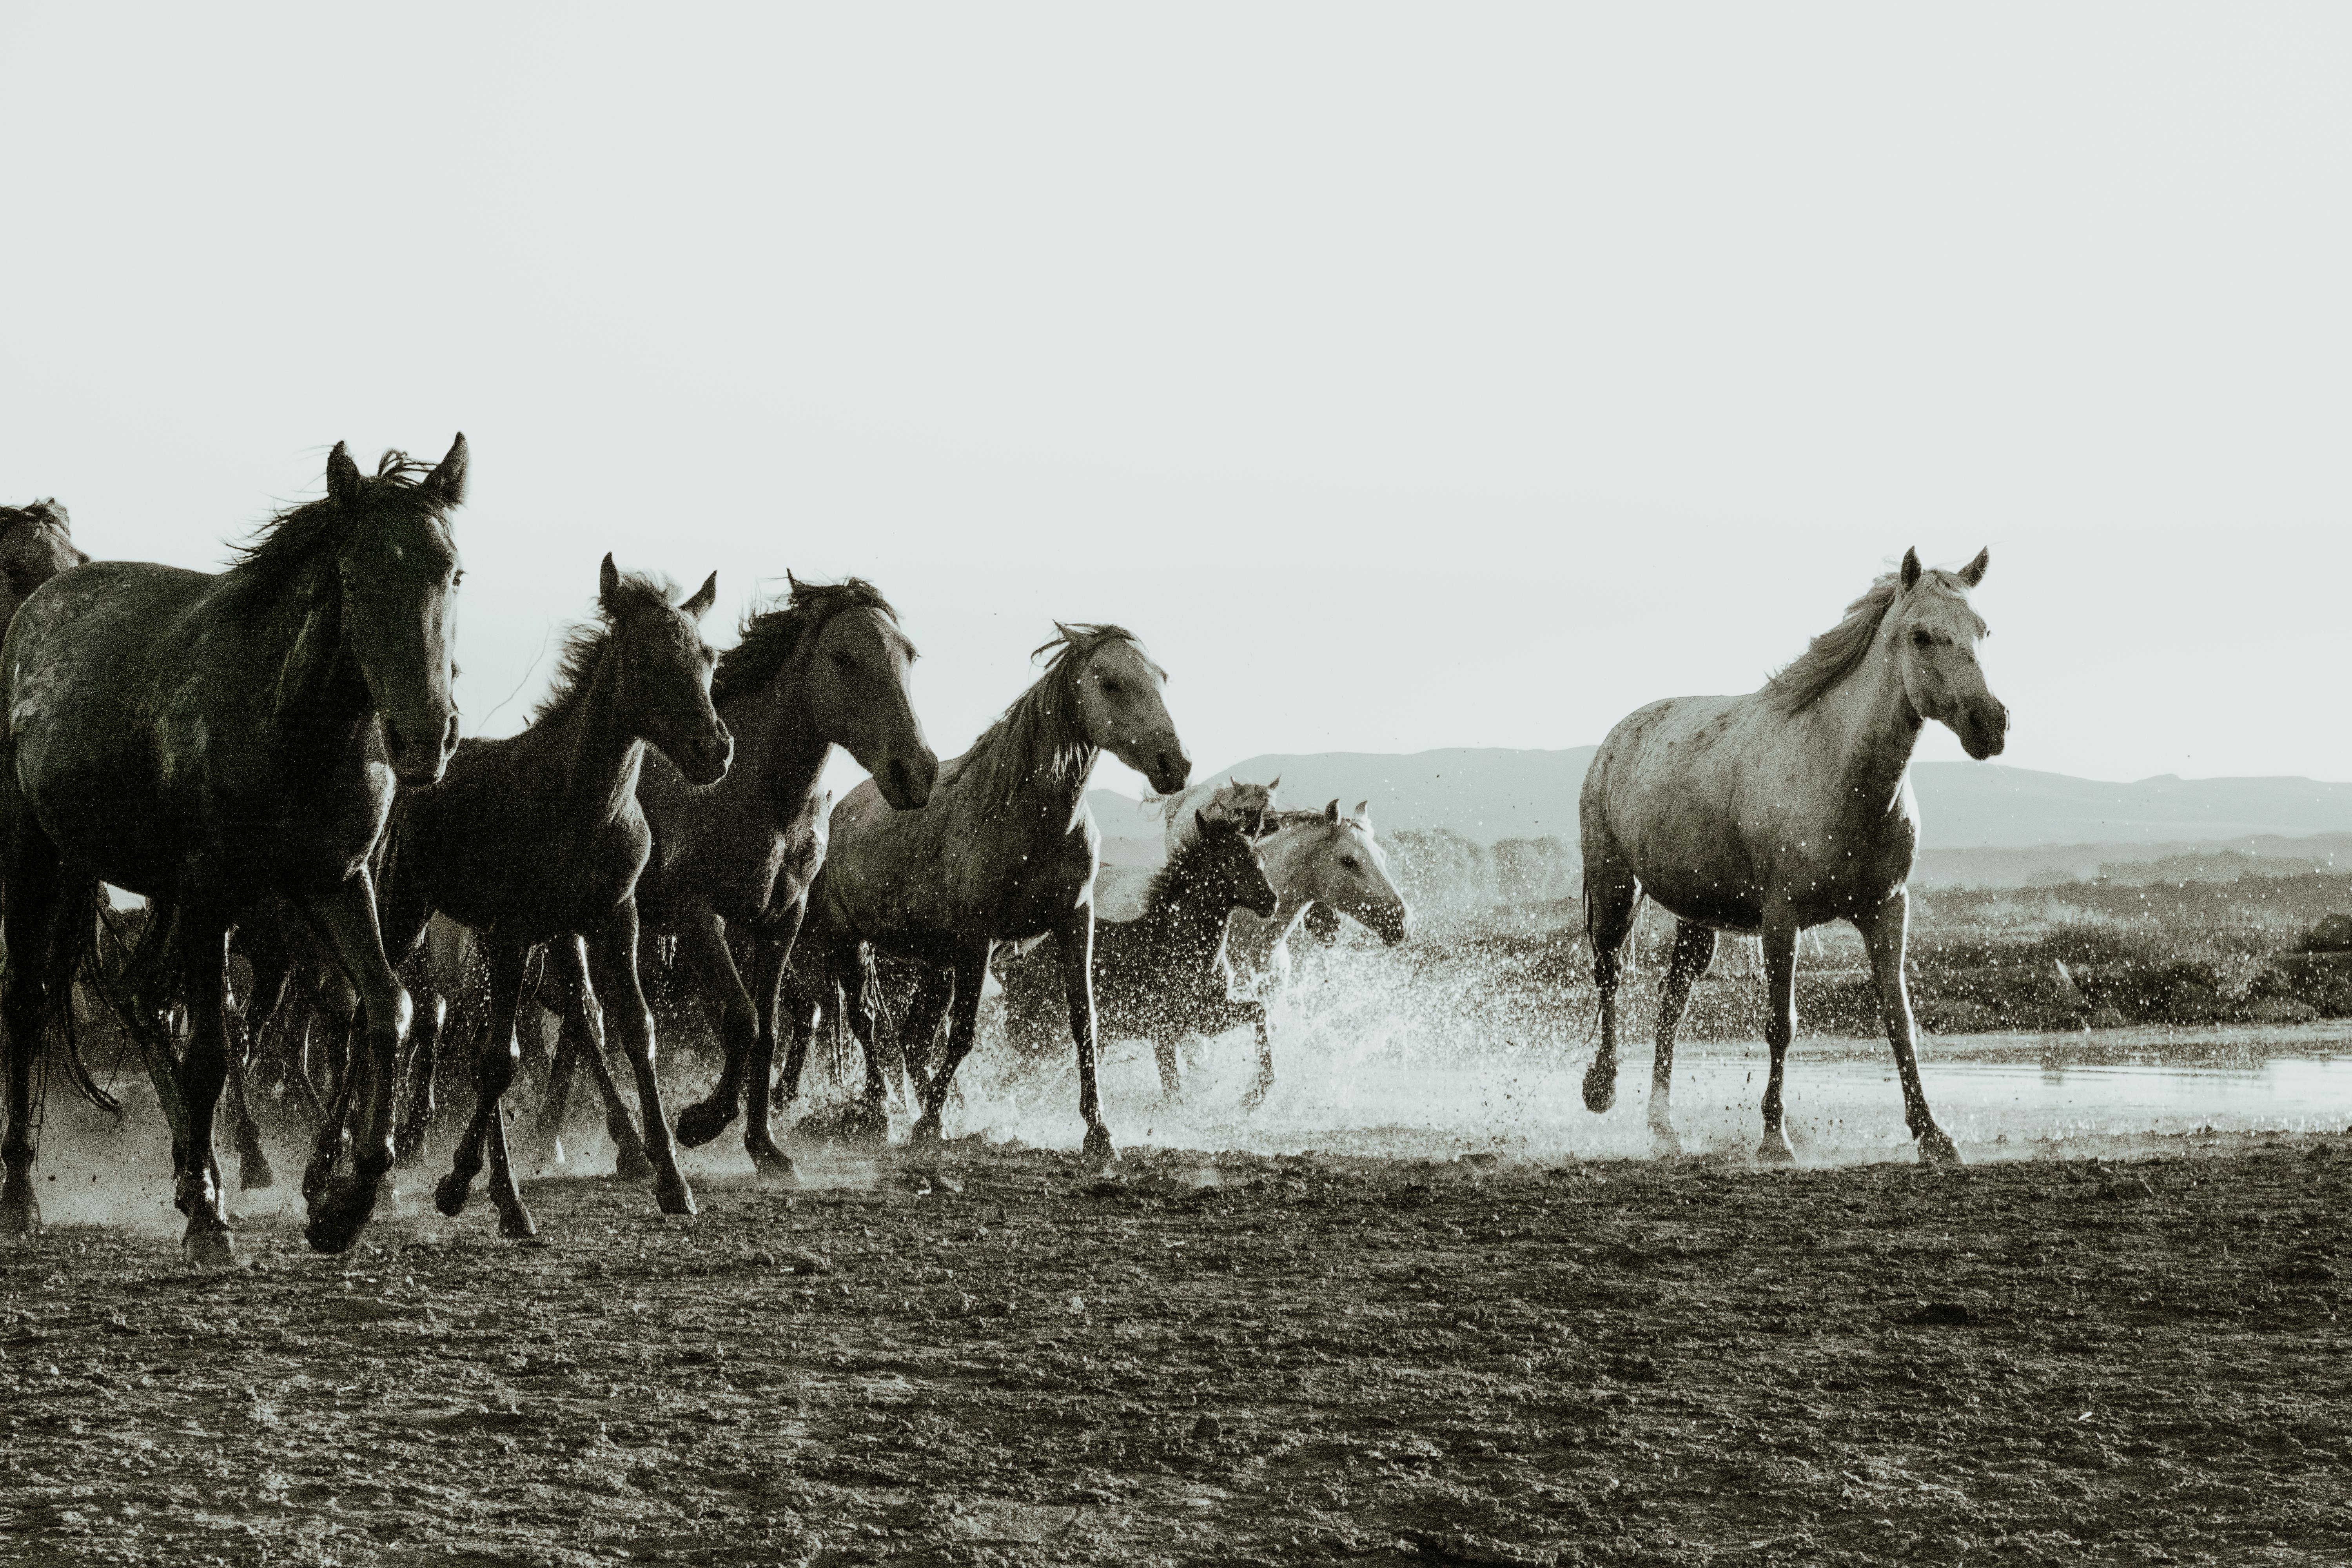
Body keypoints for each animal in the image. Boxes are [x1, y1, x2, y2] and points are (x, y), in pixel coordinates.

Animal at [0, 442, 468, 1260]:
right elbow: (215, 1049)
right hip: (39, 857)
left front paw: (346, 1203)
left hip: (156, 889)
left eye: (455, 574)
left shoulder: (337, 882)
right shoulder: (214, 893)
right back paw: (25, 1199)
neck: (288, 725)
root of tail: (41, 607)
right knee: (29, 1003)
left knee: (140, 995)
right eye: (353, 579)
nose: (424, 739)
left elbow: (387, 1009)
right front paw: (211, 1228)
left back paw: (198, 1176)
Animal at [376, 557, 729, 1232]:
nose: (714, 749)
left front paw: (672, 1180)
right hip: (406, 910)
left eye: (709, 656)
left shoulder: (615, 920)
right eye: (644, 660)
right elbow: (498, 1062)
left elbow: (636, 1030)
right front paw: (471, 1189)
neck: (584, 804)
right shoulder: (513, 931)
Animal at [795, 625, 1195, 1166]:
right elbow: (963, 1033)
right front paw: (927, 1124)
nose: (1175, 764)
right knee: (867, 1022)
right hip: (851, 943)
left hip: (937, 961)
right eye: (1110, 682)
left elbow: (1084, 1025)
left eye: (1162, 678)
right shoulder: (978, 938)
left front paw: (1099, 1131)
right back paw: (882, 1114)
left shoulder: (1075, 921)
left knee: (913, 1037)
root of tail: (837, 811)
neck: (1030, 817)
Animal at [1002, 818, 1279, 1100]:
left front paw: (1258, 1092)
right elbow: (1172, 1091)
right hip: (1041, 1036)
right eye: (1227, 860)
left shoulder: (1203, 1018)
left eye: (1262, 858)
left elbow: (1259, 1010)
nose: (1270, 900)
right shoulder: (1163, 1031)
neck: (1186, 950)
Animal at [1581, 552, 2004, 1166]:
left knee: (1671, 1004)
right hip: (1615, 890)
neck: (1840, 772)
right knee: (1609, 975)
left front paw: (1933, 1135)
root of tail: (1617, 738)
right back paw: (1601, 1089)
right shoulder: (1781, 919)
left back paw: (1664, 1128)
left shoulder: (1887, 911)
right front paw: (1774, 1139)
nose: (1990, 723)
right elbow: (1782, 1024)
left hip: (1699, 917)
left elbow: (1899, 1021)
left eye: (1983, 630)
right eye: (1921, 635)